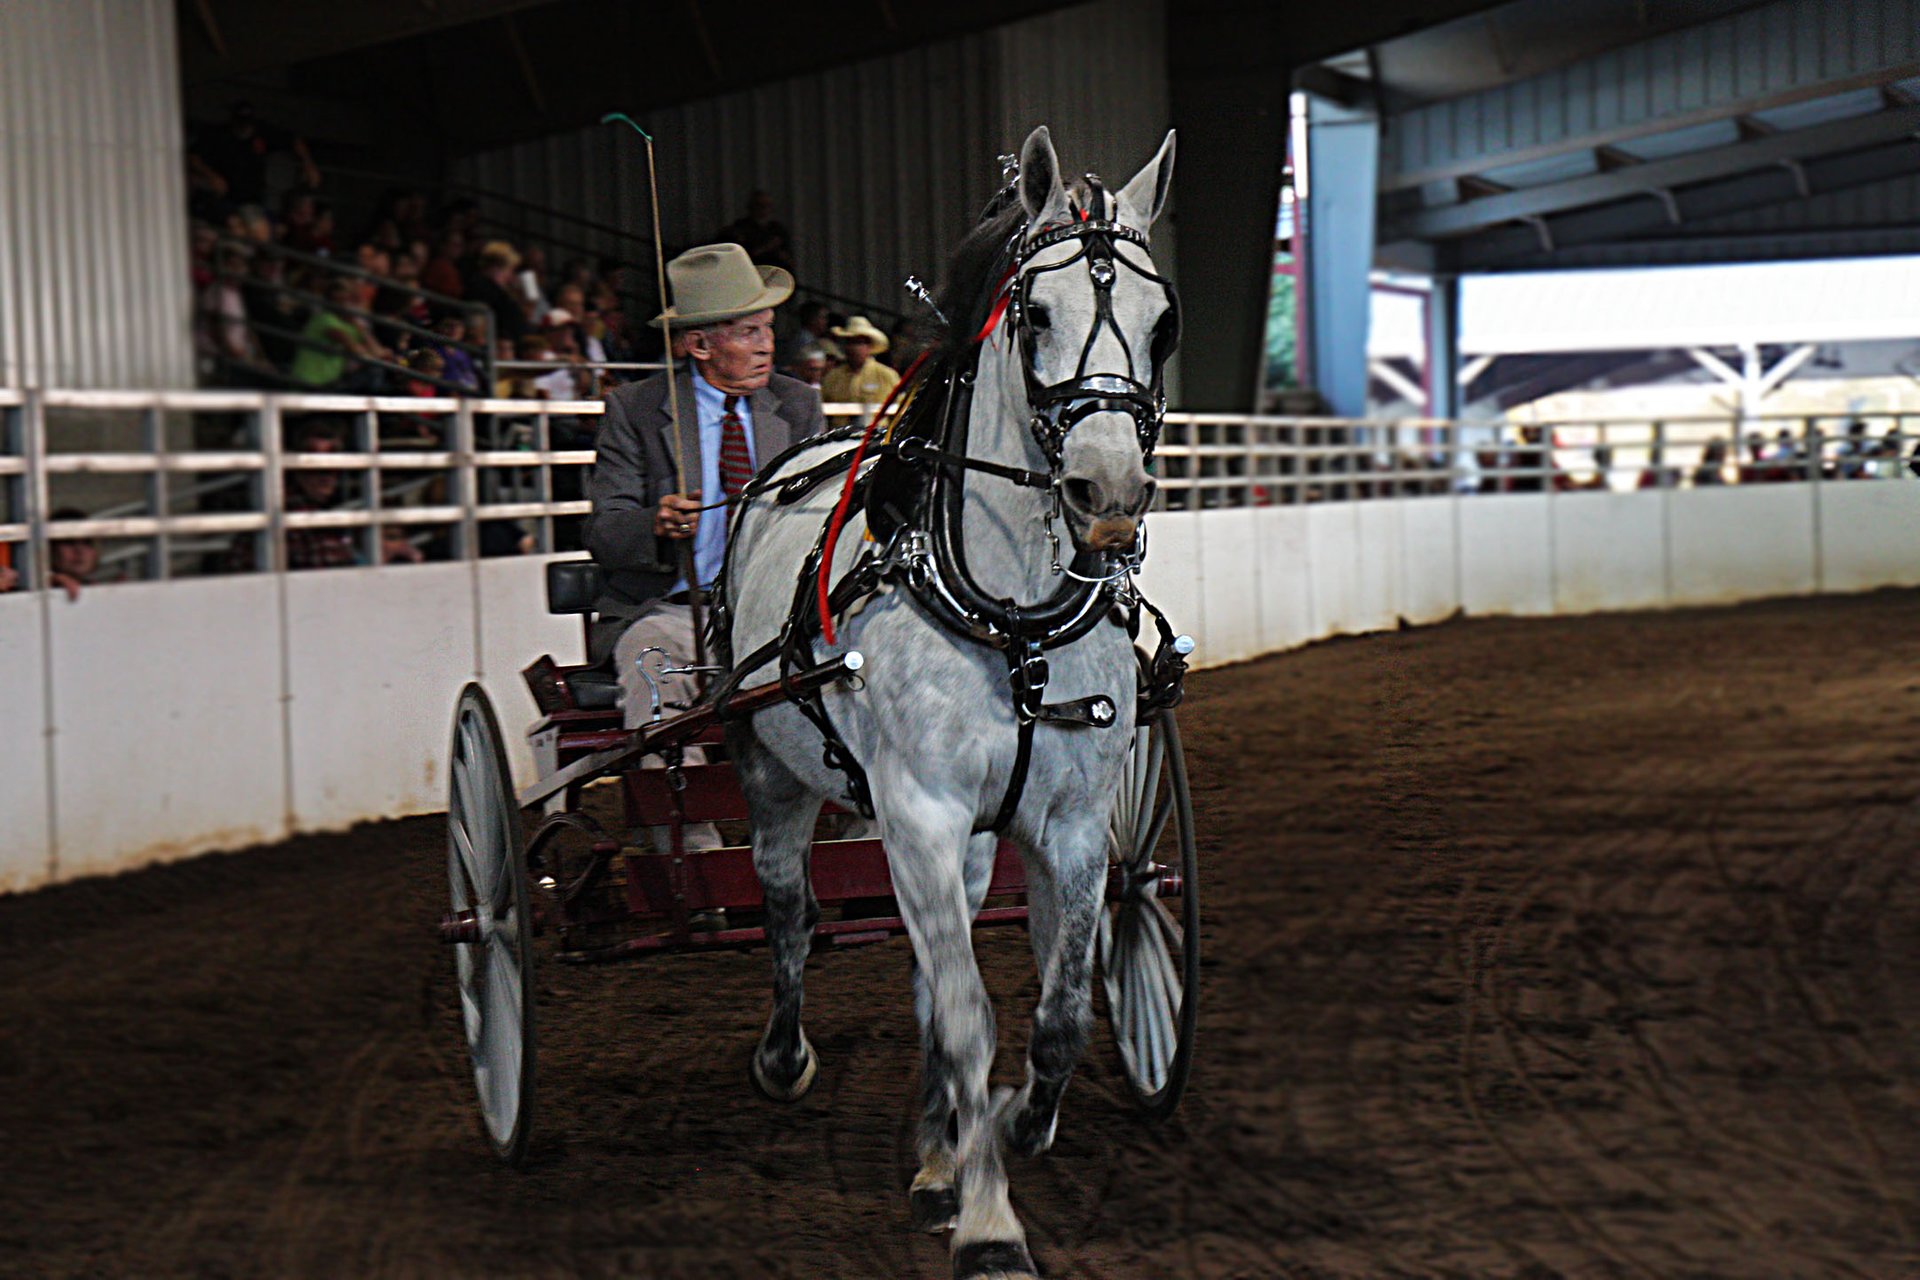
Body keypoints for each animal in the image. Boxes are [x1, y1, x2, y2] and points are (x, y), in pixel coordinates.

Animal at [721, 122, 1167, 1280]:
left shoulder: (1070, 823)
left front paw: (1005, 1124)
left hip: (962, 841)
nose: (1108, 492)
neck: (1011, 620)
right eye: (1035, 312)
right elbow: (970, 1013)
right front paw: (991, 1222)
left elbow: (1059, 1009)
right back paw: (784, 1055)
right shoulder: (915, 810)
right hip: (770, 770)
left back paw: (938, 1151)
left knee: (933, 962)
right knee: (789, 906)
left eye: (1163, 319)